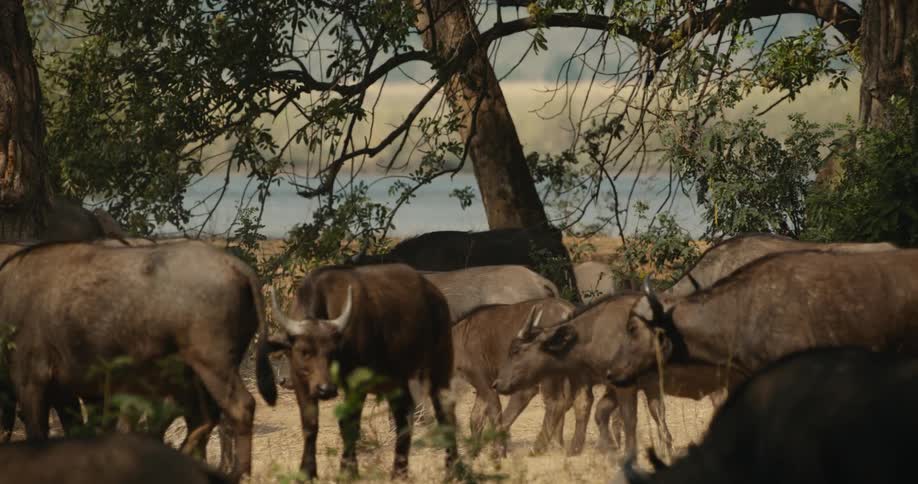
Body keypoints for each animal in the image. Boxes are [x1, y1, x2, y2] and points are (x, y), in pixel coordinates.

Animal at [265, 263, 458, 480]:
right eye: (303, 351)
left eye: (332, 351)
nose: (326, 390)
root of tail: (436, 295)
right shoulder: (301, 383)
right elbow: (310, 425)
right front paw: (307, 471)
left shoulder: (356, 384)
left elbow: (349, 424)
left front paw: (348, 470)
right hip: (395, 379)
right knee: (404, 414)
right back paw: (399, 471)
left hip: (440, 364)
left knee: (445, 412)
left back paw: (453, 470)